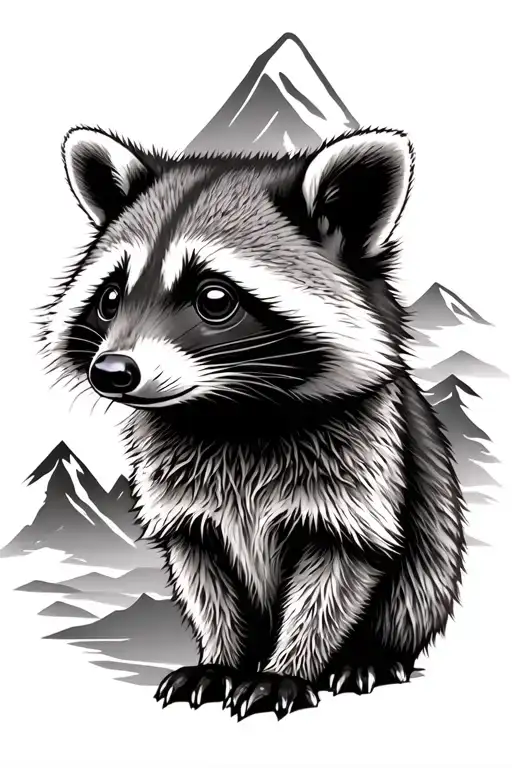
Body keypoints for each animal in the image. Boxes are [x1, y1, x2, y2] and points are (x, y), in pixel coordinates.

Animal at [40, 125, 466, 721]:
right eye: (110, 297)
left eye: (214, 299)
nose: (112, 372)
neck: (230, 411)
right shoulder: (181, 499)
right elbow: (203, 575)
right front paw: (222, 658)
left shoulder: (364, 466)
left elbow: (337, 570)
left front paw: (288, 667)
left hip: (429, 549)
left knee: (419, 582)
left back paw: (373, 656)